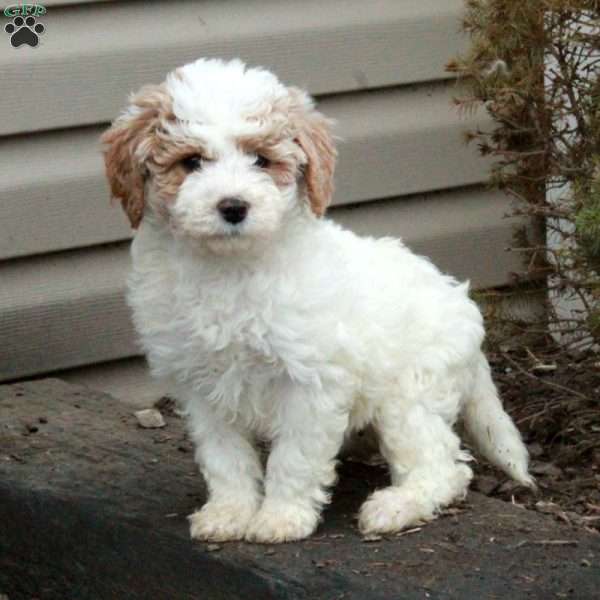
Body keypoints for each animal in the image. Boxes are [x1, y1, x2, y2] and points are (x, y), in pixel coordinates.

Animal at [101, 57, 532, 544]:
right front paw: (229, 512)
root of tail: (464, 307)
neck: (229, 269)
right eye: (191, 162)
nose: (233, 206)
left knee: (445, 466)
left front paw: (281, 517)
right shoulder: (201, 386)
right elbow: (225, 457)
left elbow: (294, 457)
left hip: (410, 394)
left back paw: (396, 506)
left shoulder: (310, 382)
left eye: (262, 160)